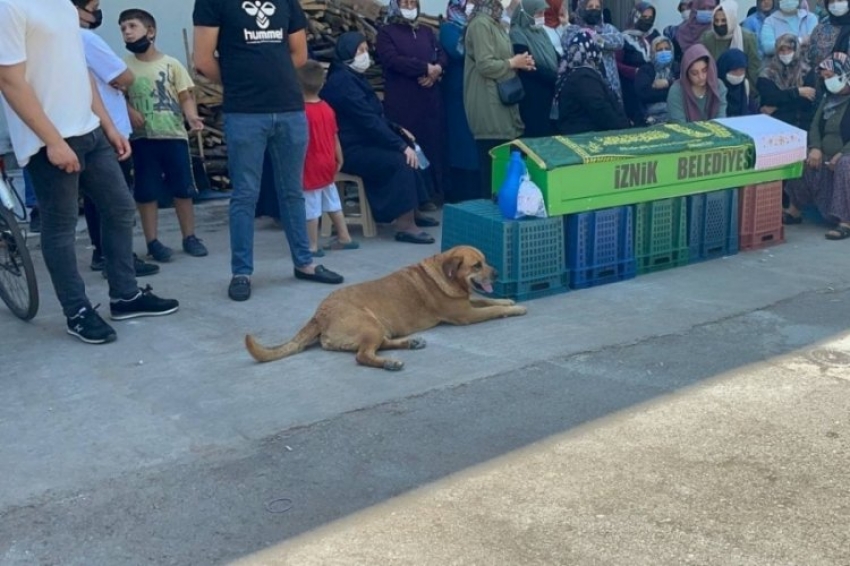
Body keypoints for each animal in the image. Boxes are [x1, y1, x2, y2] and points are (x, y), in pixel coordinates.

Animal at [242, 245, 528, 370]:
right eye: (476, 266)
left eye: (485, 261)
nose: (496, 273)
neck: (444, 274)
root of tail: (319, 314)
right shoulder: (465, 314)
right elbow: (491, 310)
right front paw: (514, 310)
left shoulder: (467, 303)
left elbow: (490, 301)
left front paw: (508, 300)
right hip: (370, 324)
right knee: (362, 356)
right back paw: (390, 363)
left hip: (378, 327)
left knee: (377, 346)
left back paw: (409, 344)